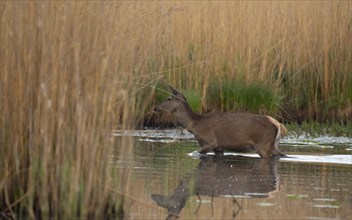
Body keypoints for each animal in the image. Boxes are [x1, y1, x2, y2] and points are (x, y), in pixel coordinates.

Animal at [153, 85, 286, 157]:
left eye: (169, 98)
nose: (155, 107)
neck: (196, 124)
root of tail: (278, 124)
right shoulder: (219, 147)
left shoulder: (211, 141)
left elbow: (195, 153)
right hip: (273, 145)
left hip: (263, 144)